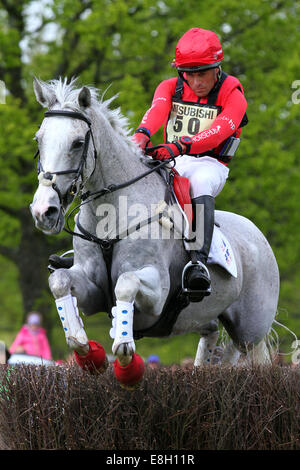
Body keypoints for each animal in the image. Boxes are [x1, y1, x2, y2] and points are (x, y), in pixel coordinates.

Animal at [29, 78, 278, 386]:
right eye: (38, 139)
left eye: (77, 143)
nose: (44, 211)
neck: (110, 213)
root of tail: (259, 237)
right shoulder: (92, 288)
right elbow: (60, 281)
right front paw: (90, 355)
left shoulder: (157, 293)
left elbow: (125, 284)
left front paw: (126, 358)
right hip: (209, 318)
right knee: (210, 337)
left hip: (251, 332)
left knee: (258, 358)